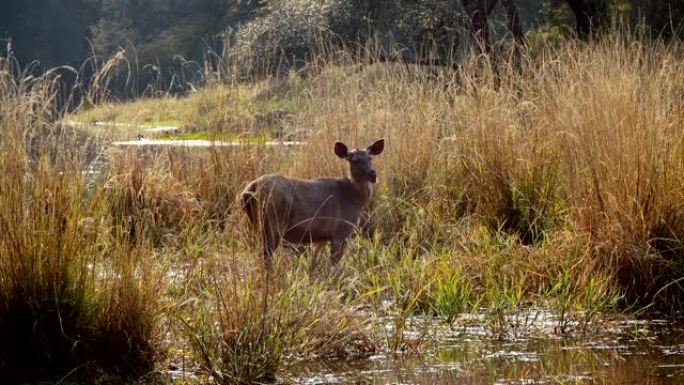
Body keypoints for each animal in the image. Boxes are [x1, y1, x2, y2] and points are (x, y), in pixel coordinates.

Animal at [242, 139, 384, 268]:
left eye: (370, 158)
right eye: (354, 160)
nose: (373, 174)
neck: (353, 199)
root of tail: (249, 190)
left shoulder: (322, 237)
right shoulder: (339, 231)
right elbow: (334, 265)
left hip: (257, 222)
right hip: (274, 222)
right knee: (267, 255)